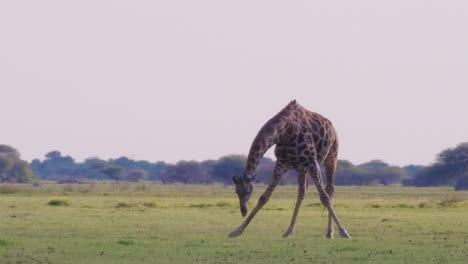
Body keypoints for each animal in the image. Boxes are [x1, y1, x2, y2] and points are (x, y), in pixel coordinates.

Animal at [229, 100, 350, 238]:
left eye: (248, 191)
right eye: (236, 192)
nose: (243, 211)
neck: (284, 132)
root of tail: (331, 126)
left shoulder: (312, 162)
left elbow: (324, 197)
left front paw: (344, 231)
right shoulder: (281, 165)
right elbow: (264, 197)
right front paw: (237, 230)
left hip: (331, 154)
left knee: (329, 189)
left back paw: (330, 232)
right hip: (302, 168)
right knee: (302, 192)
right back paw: (289, 230)